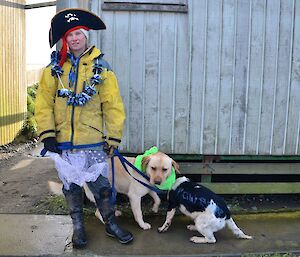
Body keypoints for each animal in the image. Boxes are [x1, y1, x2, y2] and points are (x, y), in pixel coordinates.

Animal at [48, 150, 179, 228]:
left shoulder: (149, 187)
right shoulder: (134, 196)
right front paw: (142, 225)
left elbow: (157, 198)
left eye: (164, 169)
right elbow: (138, 214)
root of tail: (85, 173)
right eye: (153, 168)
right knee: (98, 212)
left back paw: (114, 212)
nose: (157, 182)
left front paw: (155, 208)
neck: (144, 172)